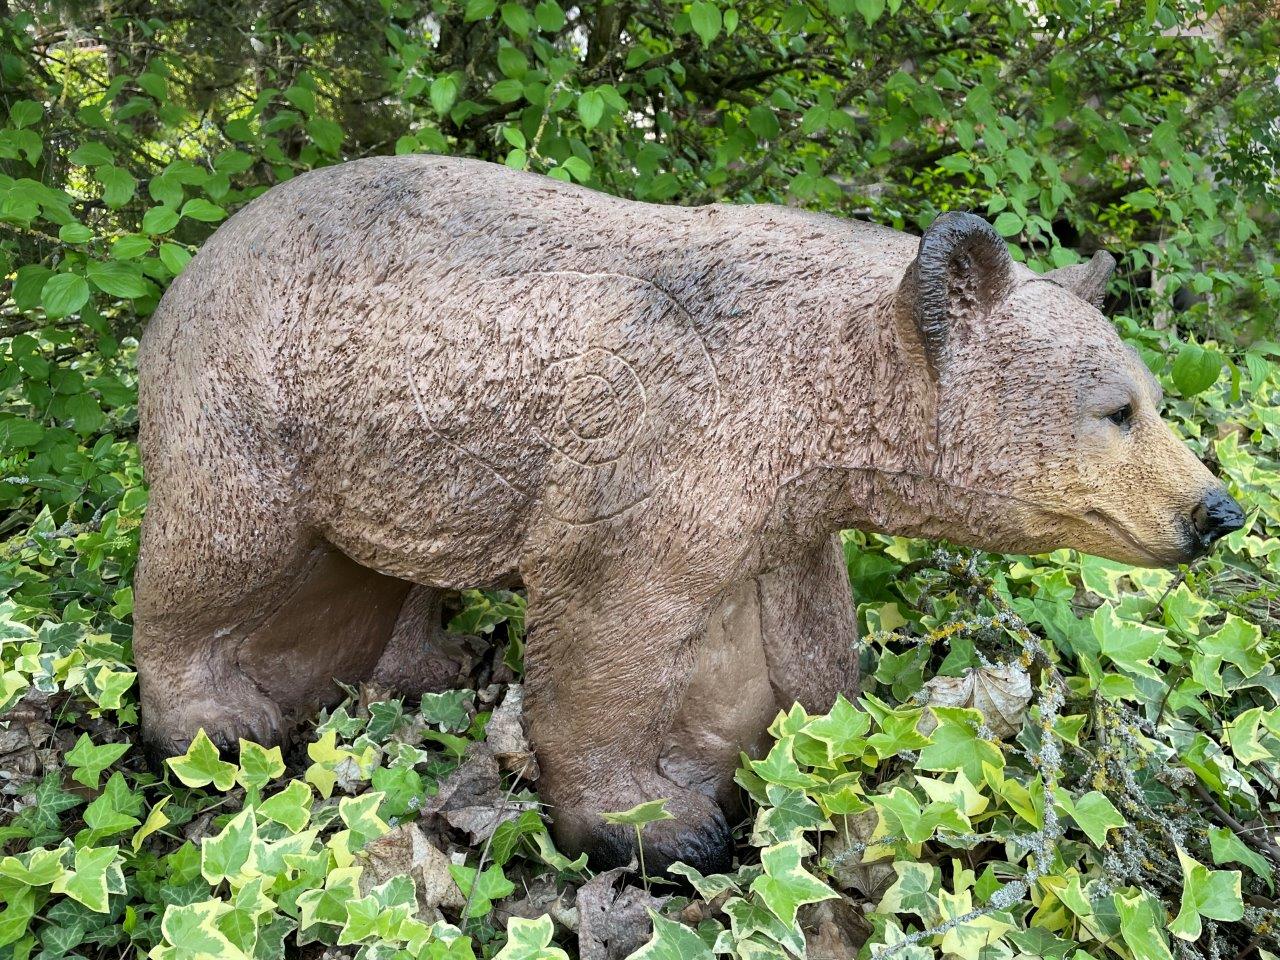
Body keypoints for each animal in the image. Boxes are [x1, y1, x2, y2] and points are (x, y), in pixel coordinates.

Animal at [135, 154, 1244, 875]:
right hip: (253, 393)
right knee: (220, 542)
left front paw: (822, 746)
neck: (809, 377)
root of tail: (193, 263)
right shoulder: (657, 441)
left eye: (1154, 395)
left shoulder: (779, 506)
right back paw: (214, 718)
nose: (1217, 509)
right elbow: (611, 629)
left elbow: (794, 634)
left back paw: (415, 665)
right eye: (1115, 409)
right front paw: (656, 821)